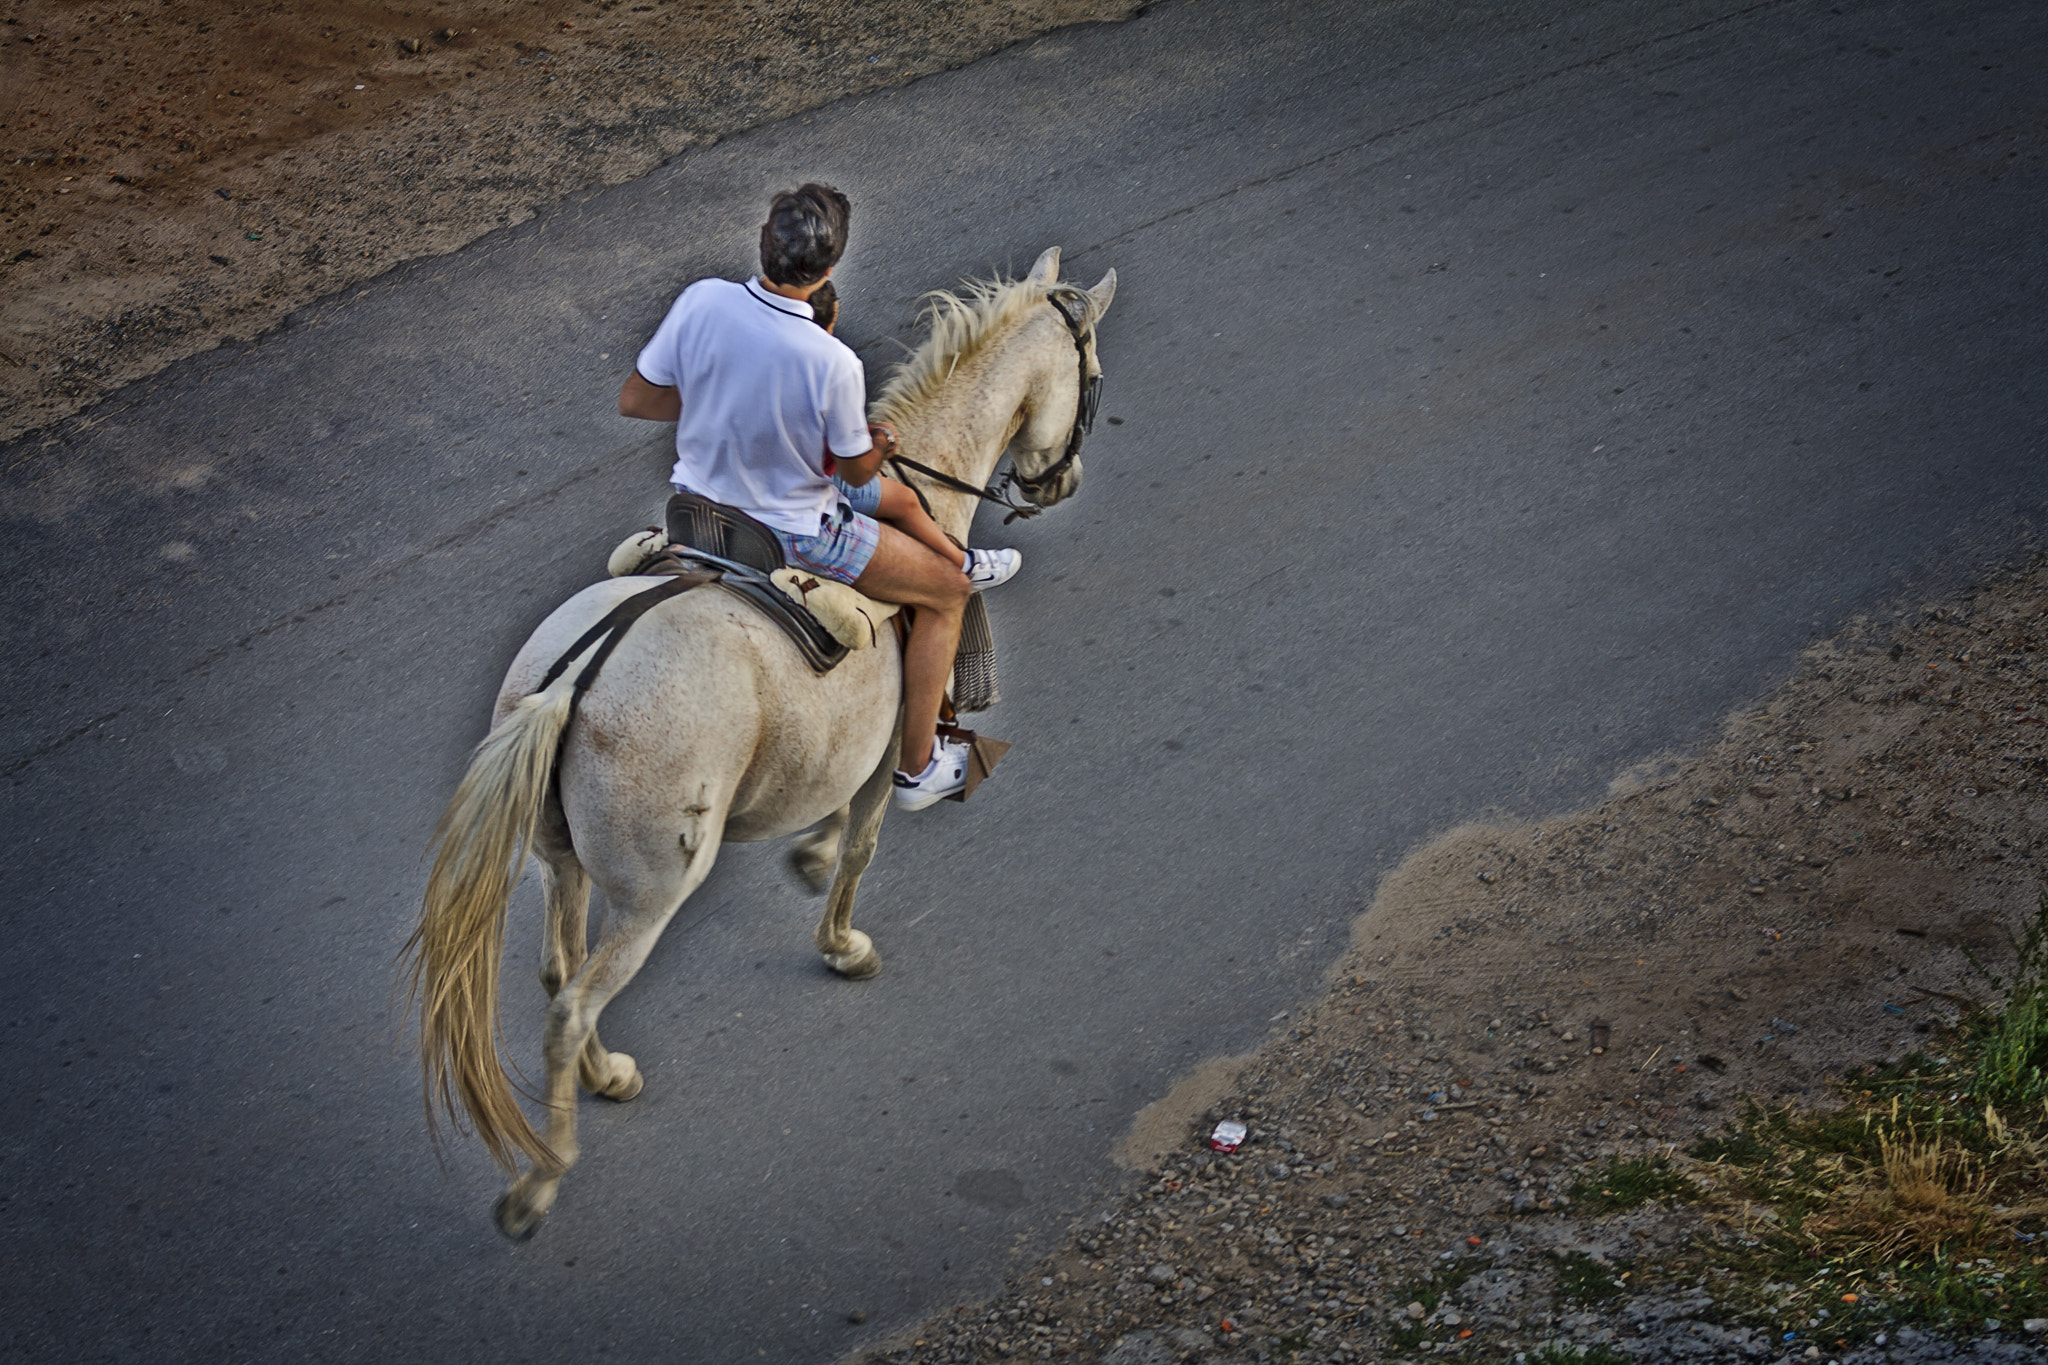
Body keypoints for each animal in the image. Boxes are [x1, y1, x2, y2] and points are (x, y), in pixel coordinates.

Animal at [407, 245, 1114, 1236]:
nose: (1062, 483)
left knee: (556, 973)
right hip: (652, 891)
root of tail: (575, 679)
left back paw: (606, 1077)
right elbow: (863, 842)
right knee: (573, 1002)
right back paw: (545, 1173)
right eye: (1091, 377)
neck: (929, 485)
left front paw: (808, 859)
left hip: (562, 861)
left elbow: (834, 829)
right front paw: (843, 940)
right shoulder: (883, 746)